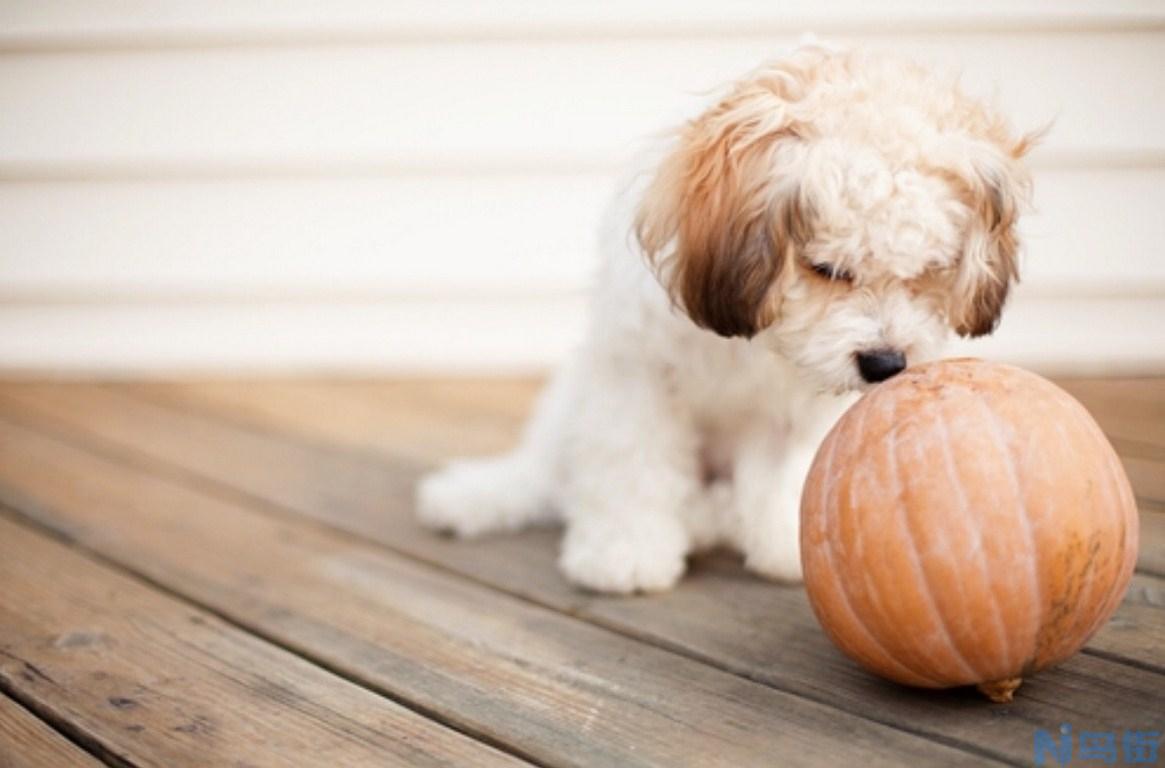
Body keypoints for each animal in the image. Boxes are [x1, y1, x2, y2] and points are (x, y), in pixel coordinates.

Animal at [414, 46, 1034, 594]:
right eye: (827, 269)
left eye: (928, 272)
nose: (884, 364)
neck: (759, 341)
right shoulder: (636, 375)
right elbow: (630, 465)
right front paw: (624, 554)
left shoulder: (795, 414)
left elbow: (787, 475)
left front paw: (788, 546)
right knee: (546, 475)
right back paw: (477, 496)